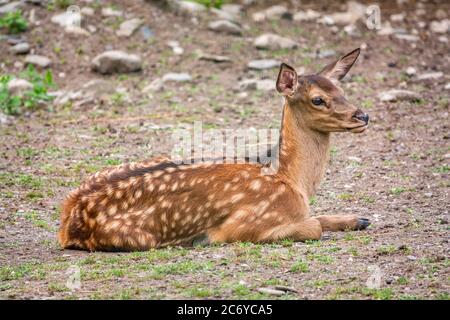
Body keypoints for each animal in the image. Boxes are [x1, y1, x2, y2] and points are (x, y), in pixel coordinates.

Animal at [59, 48, 370, 252]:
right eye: (318, 99)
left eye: (343, 91)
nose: (363, 116)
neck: (290, 180)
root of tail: (67, 220)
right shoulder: (242, 225)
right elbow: (314, 226)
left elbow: (321, 216)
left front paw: (360, 219)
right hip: (138, 239)